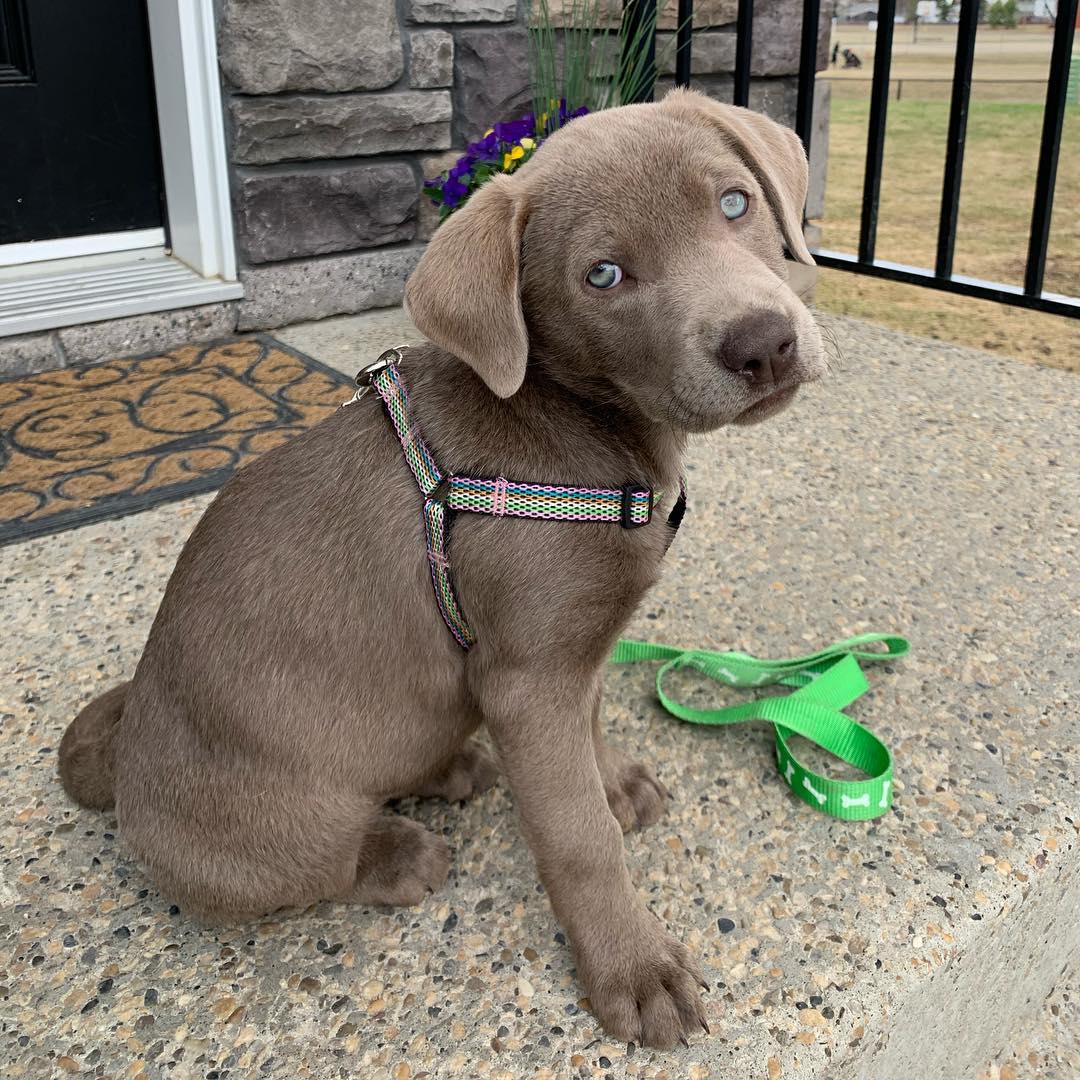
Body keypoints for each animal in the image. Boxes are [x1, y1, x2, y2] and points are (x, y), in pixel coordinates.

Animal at [59, 88, 825, 1049]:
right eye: (603, 277)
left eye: (734, 203)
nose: (764, 343)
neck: (574, 419)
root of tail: (124, 762)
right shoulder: (528, 678)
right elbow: (578, 838)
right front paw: (633, 969)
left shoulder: (567, 654)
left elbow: (593, 727)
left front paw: (614, 783)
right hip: (270, 830)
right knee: (316, 863)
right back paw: (397, 853)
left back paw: (452, 770)